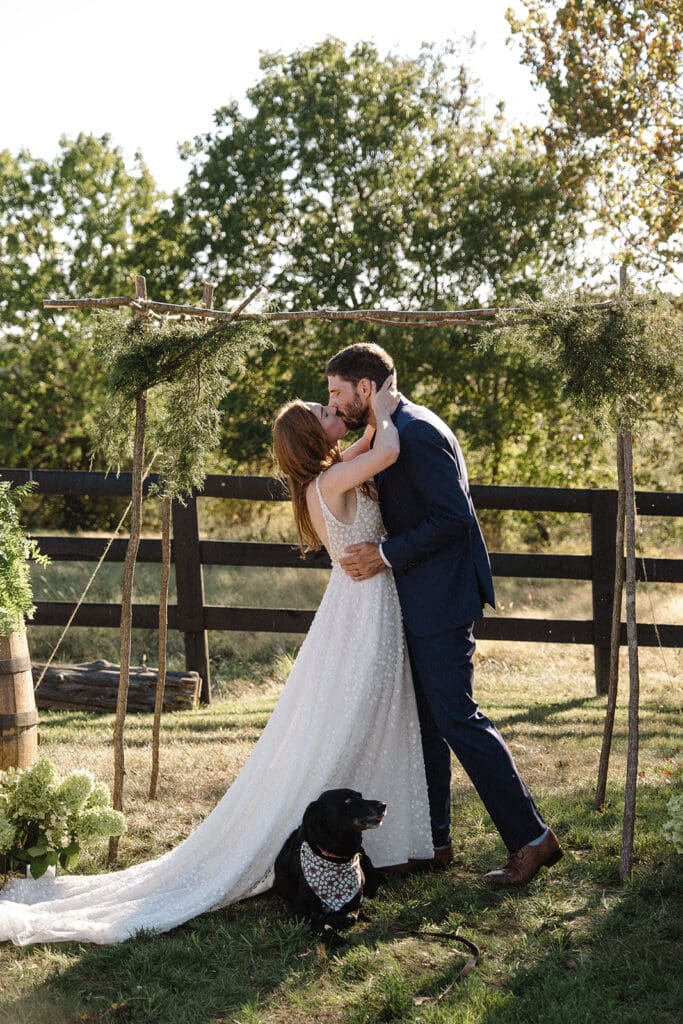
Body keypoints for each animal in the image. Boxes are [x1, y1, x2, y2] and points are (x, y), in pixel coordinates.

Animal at [274, 790, 387, 937]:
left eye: (361, 796)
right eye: (347, 800)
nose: (383, 805)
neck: (336, 858)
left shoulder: (354, 903)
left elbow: (350, 916)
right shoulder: (300, 912)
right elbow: (321, 924)